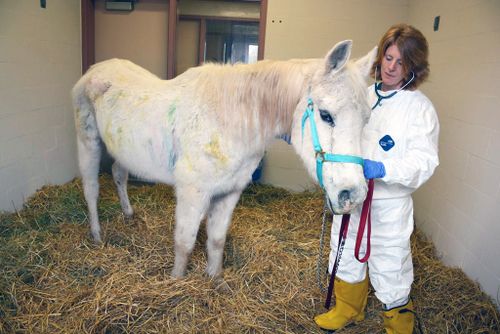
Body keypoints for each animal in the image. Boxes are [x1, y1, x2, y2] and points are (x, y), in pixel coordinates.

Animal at [70, 40, 376, 278]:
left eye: (366, 119)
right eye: (325, 115)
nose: (352, 194)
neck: (227, 119)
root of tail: (94, 71)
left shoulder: (229, 192)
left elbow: (216, 240)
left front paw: (215, 279)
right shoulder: (192, 193)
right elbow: (184, 242)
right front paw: (176, 281)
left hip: (121, 151)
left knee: (119, 174)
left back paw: (128, 214)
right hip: (88, 144)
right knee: (91, 191)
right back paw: (97, 236)